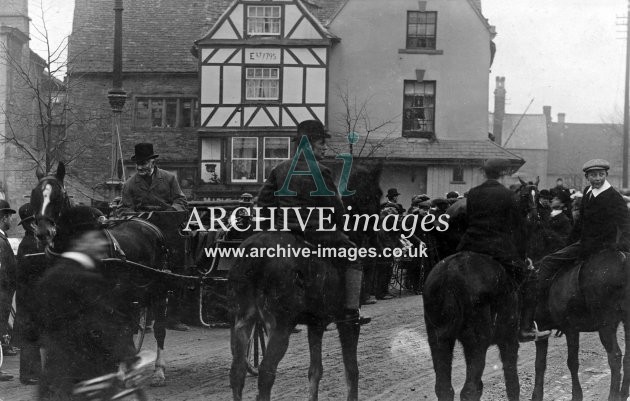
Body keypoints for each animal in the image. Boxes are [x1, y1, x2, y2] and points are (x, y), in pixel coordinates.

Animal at [28, 161, 172, 386]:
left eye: (59, 195)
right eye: (34, 194)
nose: (43, 233)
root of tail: (148, 224)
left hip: (158, 290)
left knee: (158, 329)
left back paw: (157, 370)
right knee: (128, 326)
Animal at [228, 161, 382, 398]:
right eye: (376, 194)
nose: (377, 236)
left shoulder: (316, 324)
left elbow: (315, 371)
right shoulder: (347, 323)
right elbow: (352, 371)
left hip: (243, 321)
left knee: (237, 372)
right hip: (280, 326)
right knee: (265, 373)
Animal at [422, 179, 540, 400]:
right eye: (526, 197)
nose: (536, 218)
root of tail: (450, 276)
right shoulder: (509, 339)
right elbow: (512, 382)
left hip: (439, 340)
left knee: (444, 388)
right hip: (476, 343)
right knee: (469, 390)